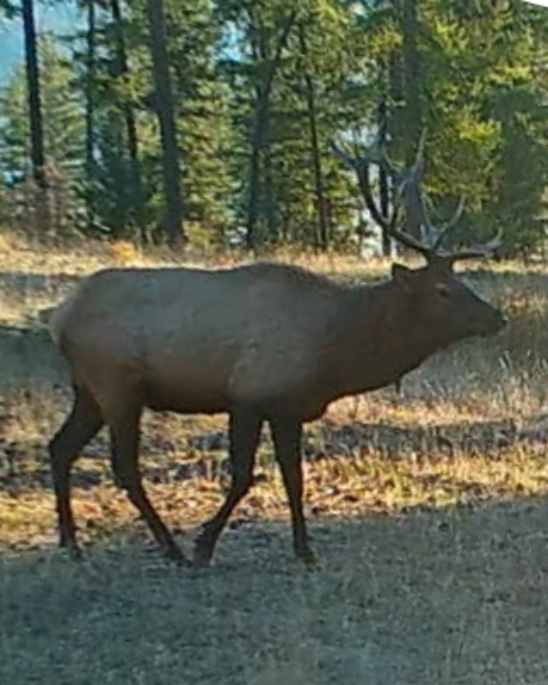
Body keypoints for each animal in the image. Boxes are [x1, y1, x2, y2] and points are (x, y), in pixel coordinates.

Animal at [44, 131, 506, 568]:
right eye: (443, 290)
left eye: (461, 281)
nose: (497, 317)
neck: (335, 351)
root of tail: (60, 315)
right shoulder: (248, 395)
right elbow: (243, 477)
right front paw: (204, 545)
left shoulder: (289, 407)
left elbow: (293, 477)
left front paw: (304, 550)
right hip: (117, 386)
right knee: (124, 468)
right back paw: (170, 548)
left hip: (88, 390)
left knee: (60, 447)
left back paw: (72, 543)